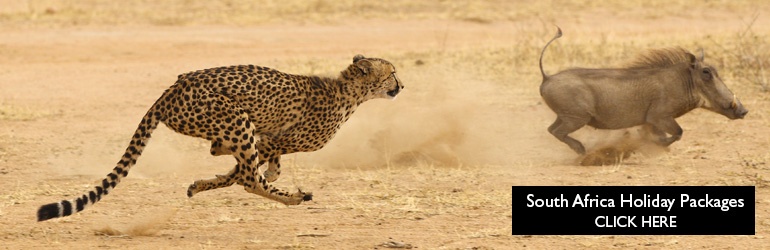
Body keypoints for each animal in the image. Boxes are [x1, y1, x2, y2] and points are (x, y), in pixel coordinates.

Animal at [36, 54, 402, 221]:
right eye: (392, 72)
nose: (402, 85)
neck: (348, 92)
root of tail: (172, 89)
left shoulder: (267, 138)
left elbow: (256, 166)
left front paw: (204, 183)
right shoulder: (270, 139)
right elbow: (245, 173)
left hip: (231, 123)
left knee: (227, 156)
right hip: (236, 117)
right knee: (250, 179)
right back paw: (294, 198)